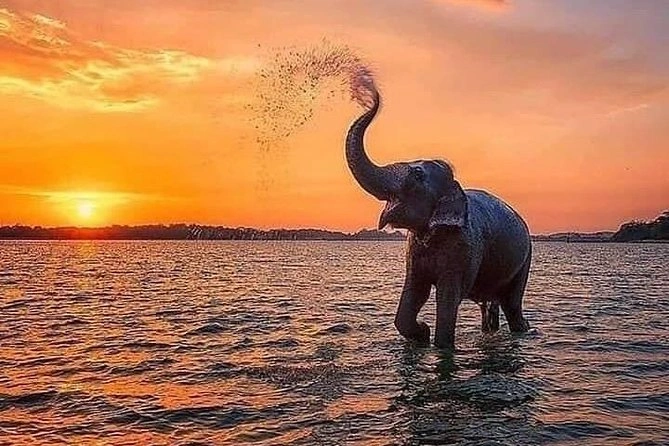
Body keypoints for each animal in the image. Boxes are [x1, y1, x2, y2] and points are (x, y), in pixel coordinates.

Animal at [345, 88, 532, 349]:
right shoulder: (413, 253)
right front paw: (422, 334)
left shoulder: (465, 248)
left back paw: (525, 330)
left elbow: (448, 295)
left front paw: (439, 344)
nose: (374, 97)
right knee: (492, 306)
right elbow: (414, 291)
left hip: (525, 260)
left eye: (417, 174)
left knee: (512, 304)